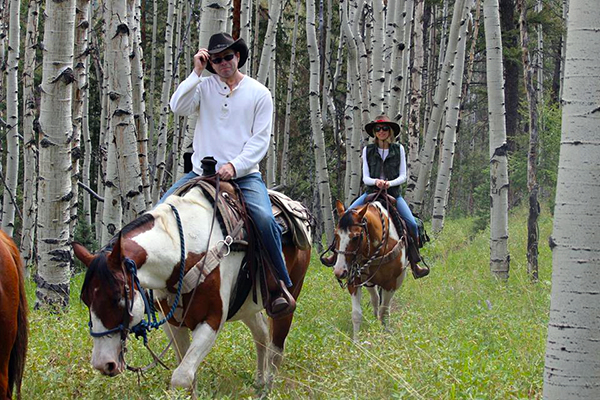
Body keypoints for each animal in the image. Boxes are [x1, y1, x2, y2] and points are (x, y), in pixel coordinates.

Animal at [72, 187, 312, 390]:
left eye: (118, 296)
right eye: (85, 299)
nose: (103, 363)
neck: (183, 252)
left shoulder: (212, 320)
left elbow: (181, 377)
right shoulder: (173, 323)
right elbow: (186, 371)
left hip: (288, 299)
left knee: (276, 347)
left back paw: (268, 387)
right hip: (247, 305)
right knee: (261, 334)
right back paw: (259, 382)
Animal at [330, 202, 406, 340]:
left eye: (356, 237)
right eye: (336, 234)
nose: (339, 271)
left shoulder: (390, 285)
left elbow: (384, 312)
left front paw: (385, 333)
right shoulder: (354, 281)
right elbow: (356, 314)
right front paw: (356, 342)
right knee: (375, 298)